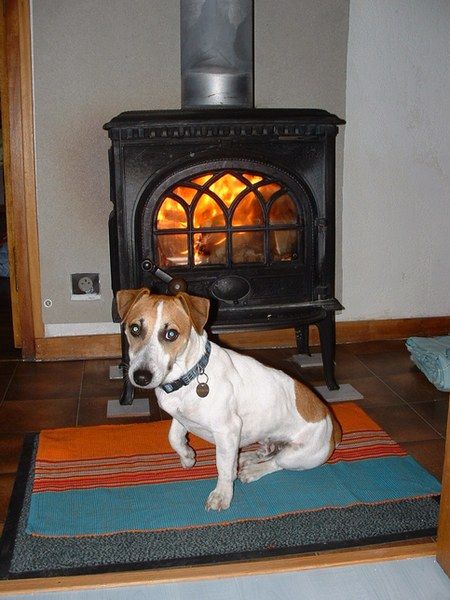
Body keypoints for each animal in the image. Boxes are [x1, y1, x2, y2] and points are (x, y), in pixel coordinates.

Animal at [116, 288, 342, 508]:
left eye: (171, 334)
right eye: (135, 329)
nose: (141, 377)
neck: (190, 375)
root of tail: (333, 426)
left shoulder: (227, 430)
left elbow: (222, 467)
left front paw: (222, 494)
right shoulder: (180, 418)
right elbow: (174, 437)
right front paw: (188, 456)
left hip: (296, 455)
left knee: (276, 462)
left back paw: (252, 470)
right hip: (268, 440)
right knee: (267, 452)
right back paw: (246, 457)